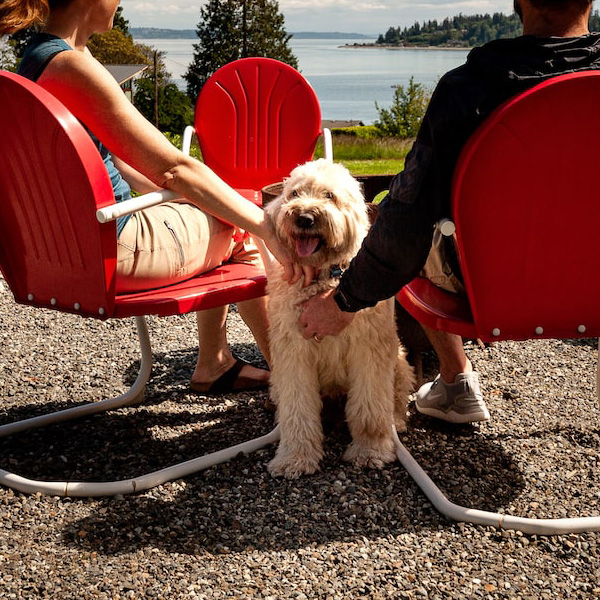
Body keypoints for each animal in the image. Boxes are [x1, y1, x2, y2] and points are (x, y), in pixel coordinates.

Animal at [264, 158, 414, 478]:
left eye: (329, 196)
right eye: (294, 194)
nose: (304, 218)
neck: (324, 275)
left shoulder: (369, 350)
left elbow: (370, 409)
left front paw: (370, 451)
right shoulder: (293, 352)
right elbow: (298, 408)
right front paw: (295, 458)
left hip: (399, 361)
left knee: (394, 400)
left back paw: (397, 422)